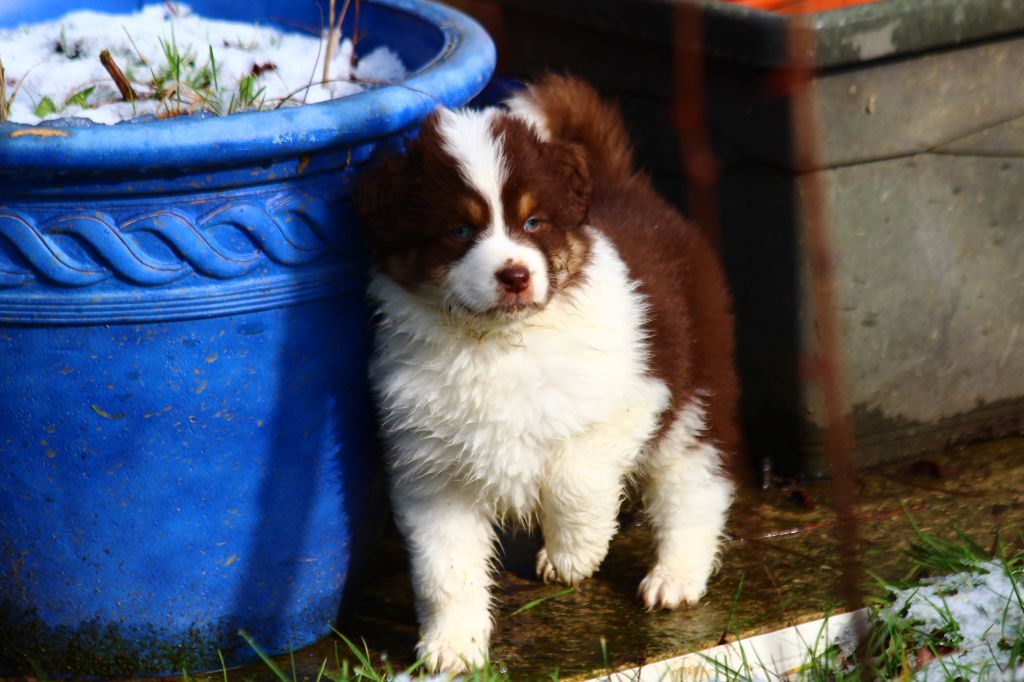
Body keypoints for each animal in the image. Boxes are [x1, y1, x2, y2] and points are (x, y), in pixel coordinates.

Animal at [352, 74, 737, 667]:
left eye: (533, 222)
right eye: (459, 230)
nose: (514, 275)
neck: (498, 344)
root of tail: (622, 185)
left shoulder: (631, 401)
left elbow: (573, 479)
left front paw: (575, 552)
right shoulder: (430, 471)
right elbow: (445, 568)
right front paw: (452, 647)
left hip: (695, 385)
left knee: (694, 486)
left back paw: (674, 578)